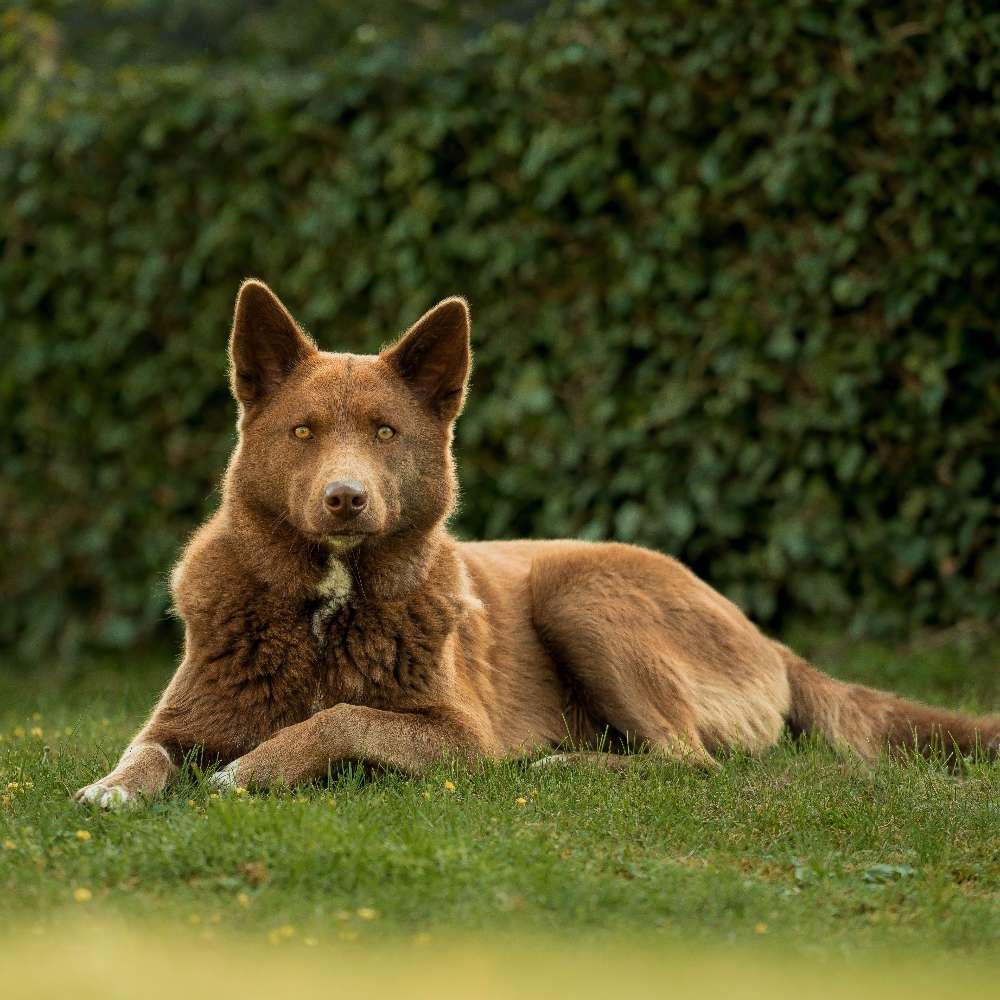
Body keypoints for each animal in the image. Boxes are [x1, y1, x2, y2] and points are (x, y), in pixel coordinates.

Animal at [76, 280, 992, 804]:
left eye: (383, 432)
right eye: (303, 431)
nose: (345, 499)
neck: (328, 607)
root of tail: (764, 637)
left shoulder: (460, 739)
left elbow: (343, 717)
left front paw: (255, 768)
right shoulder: (180, 718)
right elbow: (146, 753)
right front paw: (112, 788)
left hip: (580, 595)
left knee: (690, 762)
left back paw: (564, 766)